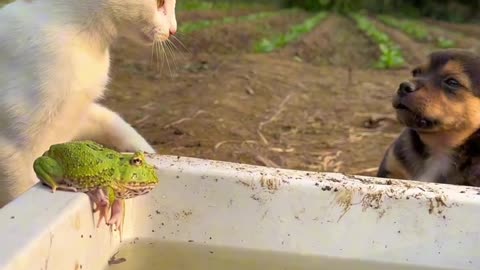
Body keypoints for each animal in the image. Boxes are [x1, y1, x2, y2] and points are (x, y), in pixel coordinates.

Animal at [0, 0, 176, 206]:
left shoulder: (80, 114)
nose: (173, 30)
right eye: (159, 3)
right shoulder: (13, 149)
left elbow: (121, 128)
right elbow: (23, 188)